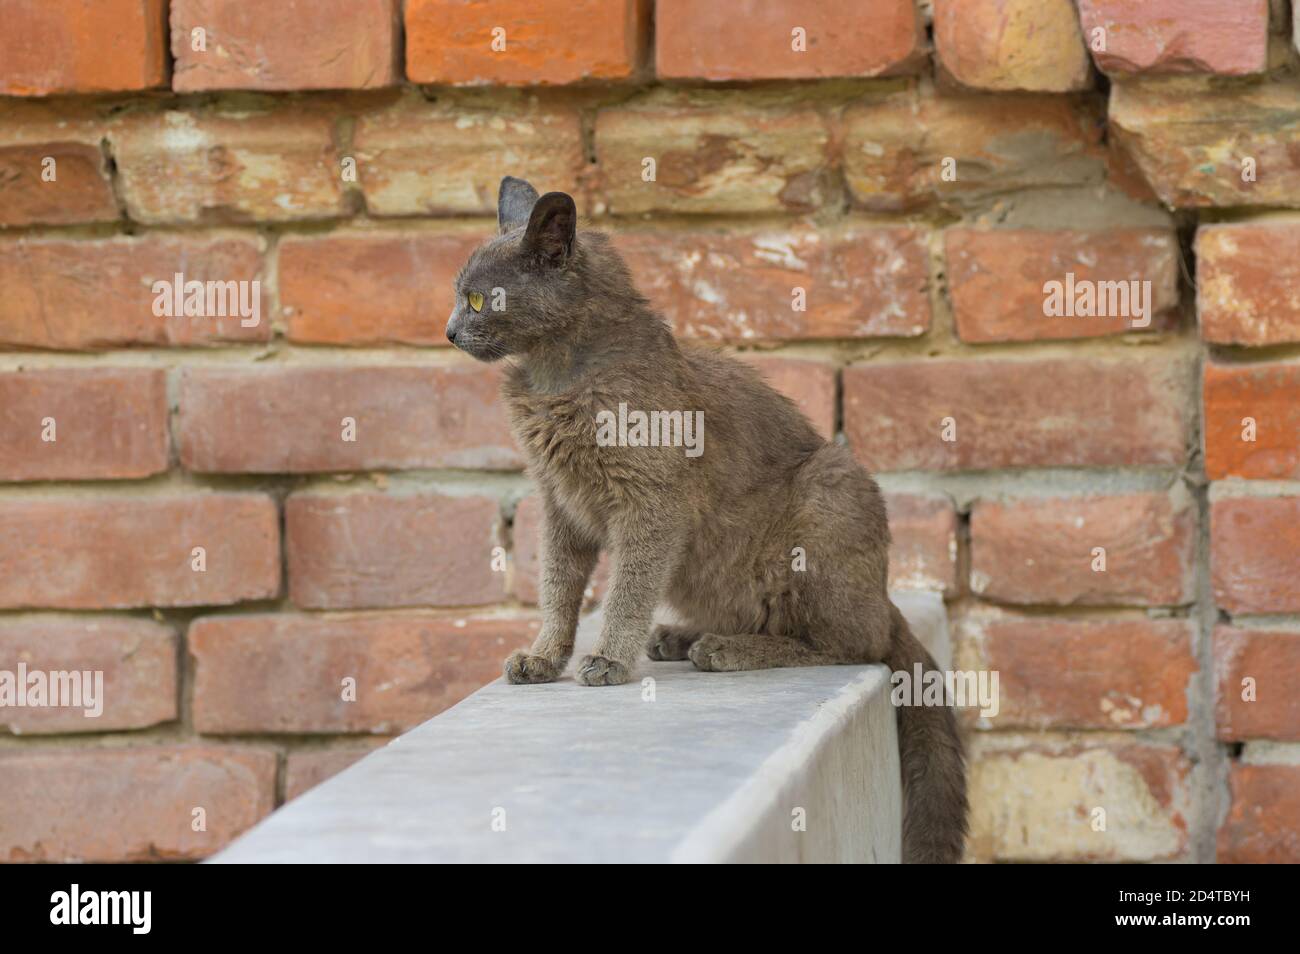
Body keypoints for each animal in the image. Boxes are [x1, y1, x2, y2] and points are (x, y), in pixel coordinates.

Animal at [447, 175, 967, 863]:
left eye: (478, 299)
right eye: (459, 297)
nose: (449, 331)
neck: (557, 376)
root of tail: (884, 596)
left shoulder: (651, 504)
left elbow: (626, 590)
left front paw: (608, 660)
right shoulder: (559, 505)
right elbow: (557, 588)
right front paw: (543, 657)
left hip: (829, 493)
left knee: (854, 644)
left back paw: (725, 650)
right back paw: (681, 638)